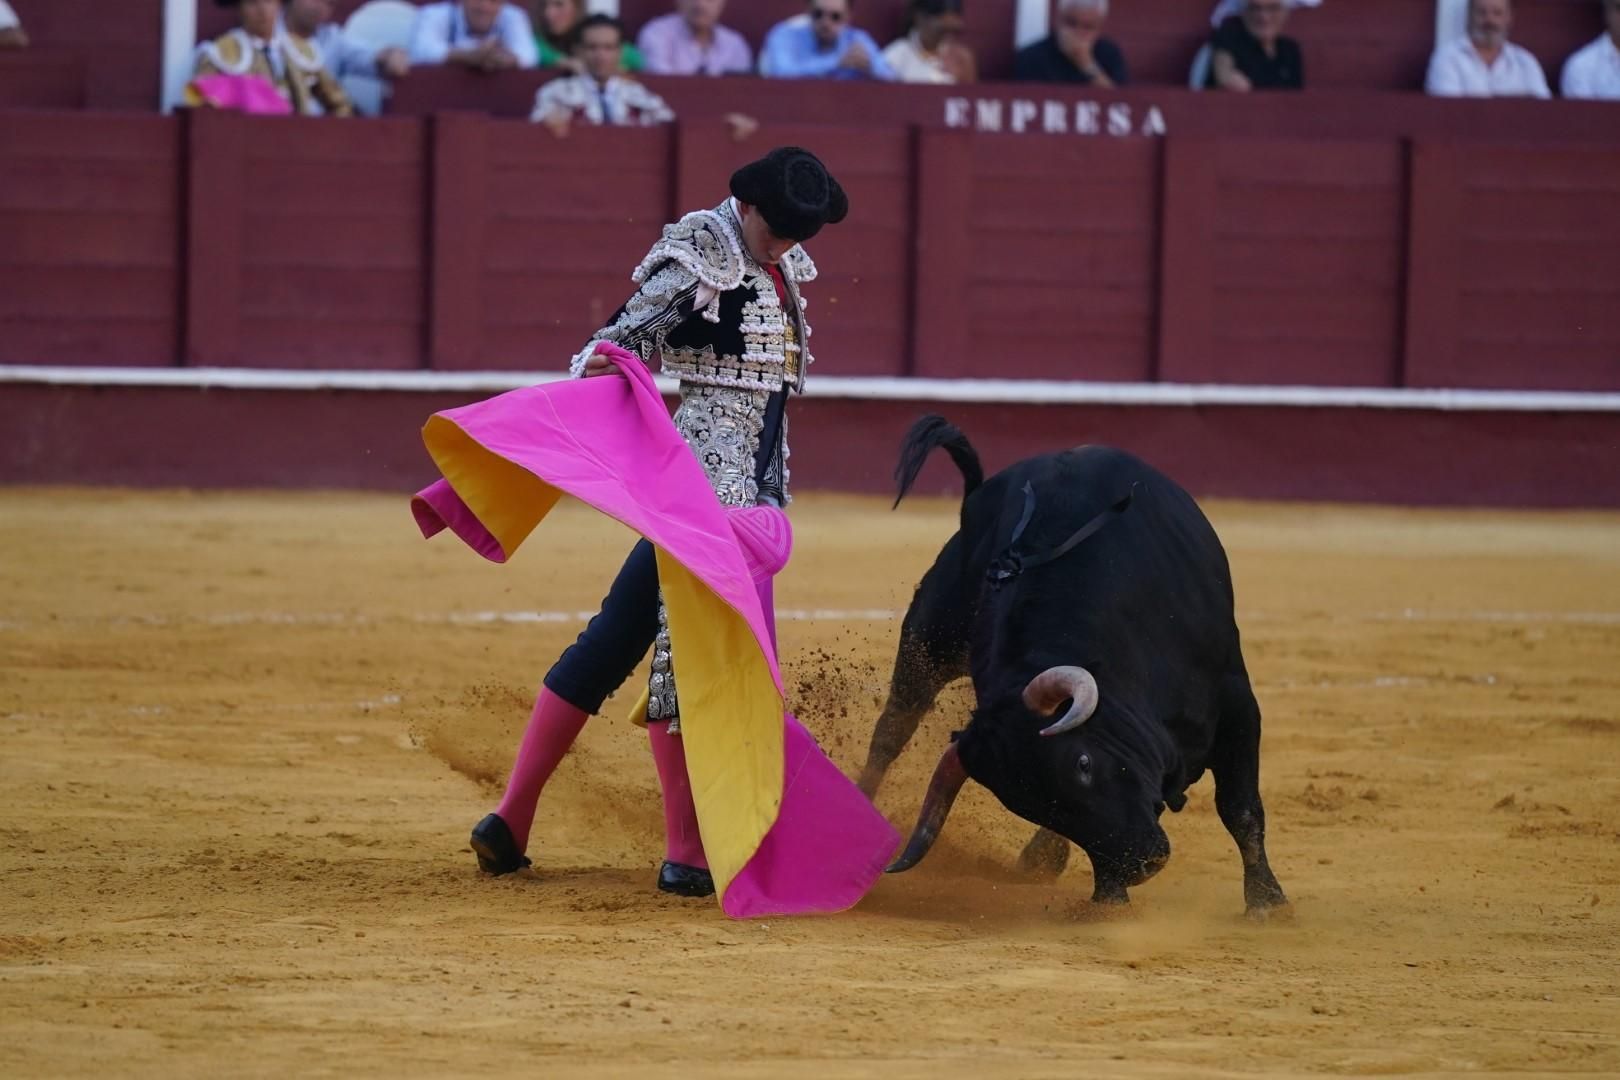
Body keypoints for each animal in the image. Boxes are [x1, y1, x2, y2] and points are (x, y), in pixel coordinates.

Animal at [861, 417, 1289, 919]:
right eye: (1035, 807)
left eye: (1083, 763)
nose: (1141, 862)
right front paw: (1110, 899)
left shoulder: (1235, 698)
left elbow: (1240, 807)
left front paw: (1267, 902)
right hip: (926, 641)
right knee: (892, 731)